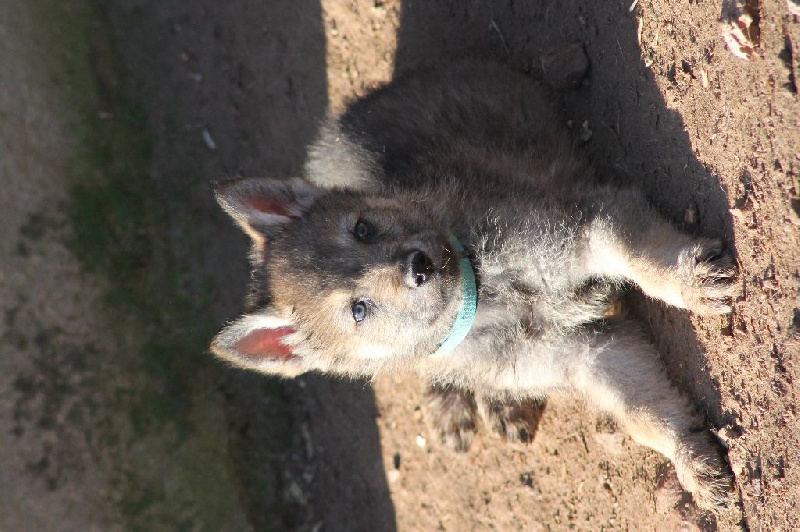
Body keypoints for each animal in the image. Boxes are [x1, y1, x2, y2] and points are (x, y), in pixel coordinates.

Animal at [211, 61, 737, 511]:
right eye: (358, 310)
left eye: (362, 228)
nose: (419, 266)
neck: (487, 292)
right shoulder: (589, 354)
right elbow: (646, 415)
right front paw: (692, 463)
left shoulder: (587, 229)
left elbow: (647, 263)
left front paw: (692, 283)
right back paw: (470, 399)